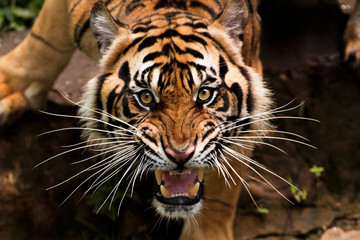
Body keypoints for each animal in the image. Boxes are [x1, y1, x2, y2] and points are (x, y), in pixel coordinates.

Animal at [0, 0, 276, 239]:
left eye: (205, 94)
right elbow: (45, 40)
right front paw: (9, 89)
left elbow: (224, 183)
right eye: (145, 97)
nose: (180, 155)